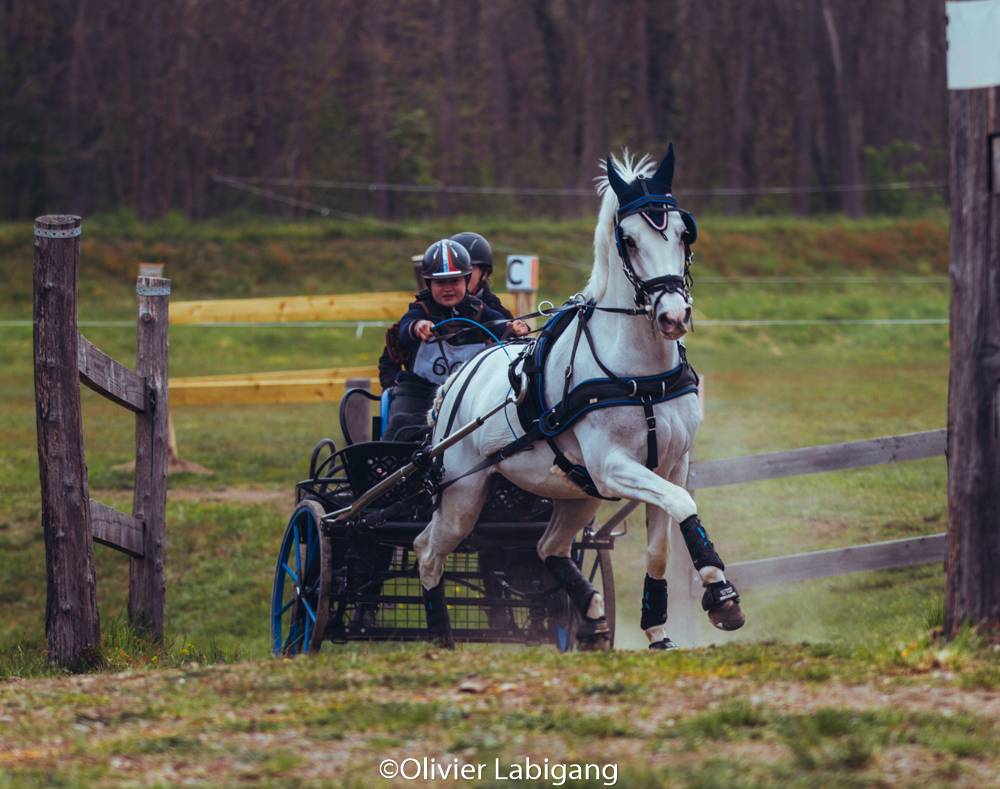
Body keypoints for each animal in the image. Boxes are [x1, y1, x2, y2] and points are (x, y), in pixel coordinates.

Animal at [413, 145, 745, 650]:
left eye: (684, 232)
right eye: (628, 239)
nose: (672, 316)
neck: (639, 377)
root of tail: (454, 380)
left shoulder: (671, 465)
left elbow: (660, 546)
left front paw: (658, 631)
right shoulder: (613, 467)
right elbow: (683, 505)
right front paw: (720, 592)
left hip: (575, 493)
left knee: (547, 546)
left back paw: (590, 610)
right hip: (462, 495)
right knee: (427, 551)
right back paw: (441, 638)